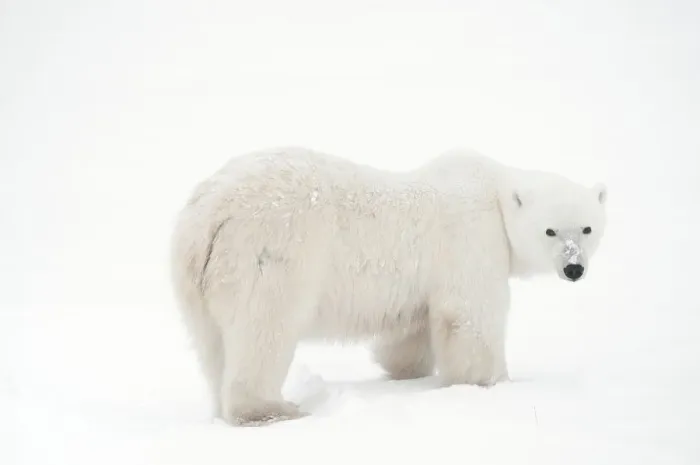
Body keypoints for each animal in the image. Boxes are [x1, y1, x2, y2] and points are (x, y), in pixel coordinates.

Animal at [169, 146, 607, 426]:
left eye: (587, 228)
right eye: (550, 231)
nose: (574, 268)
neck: (493, 193)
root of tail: (212, 209)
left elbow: (412, 328)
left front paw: (405, 370)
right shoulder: (473, 240)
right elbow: (470, 317)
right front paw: (492, 382)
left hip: (197, 276)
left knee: (213, 345)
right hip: (271, 252)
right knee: (264, 330)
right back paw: (272, 409)